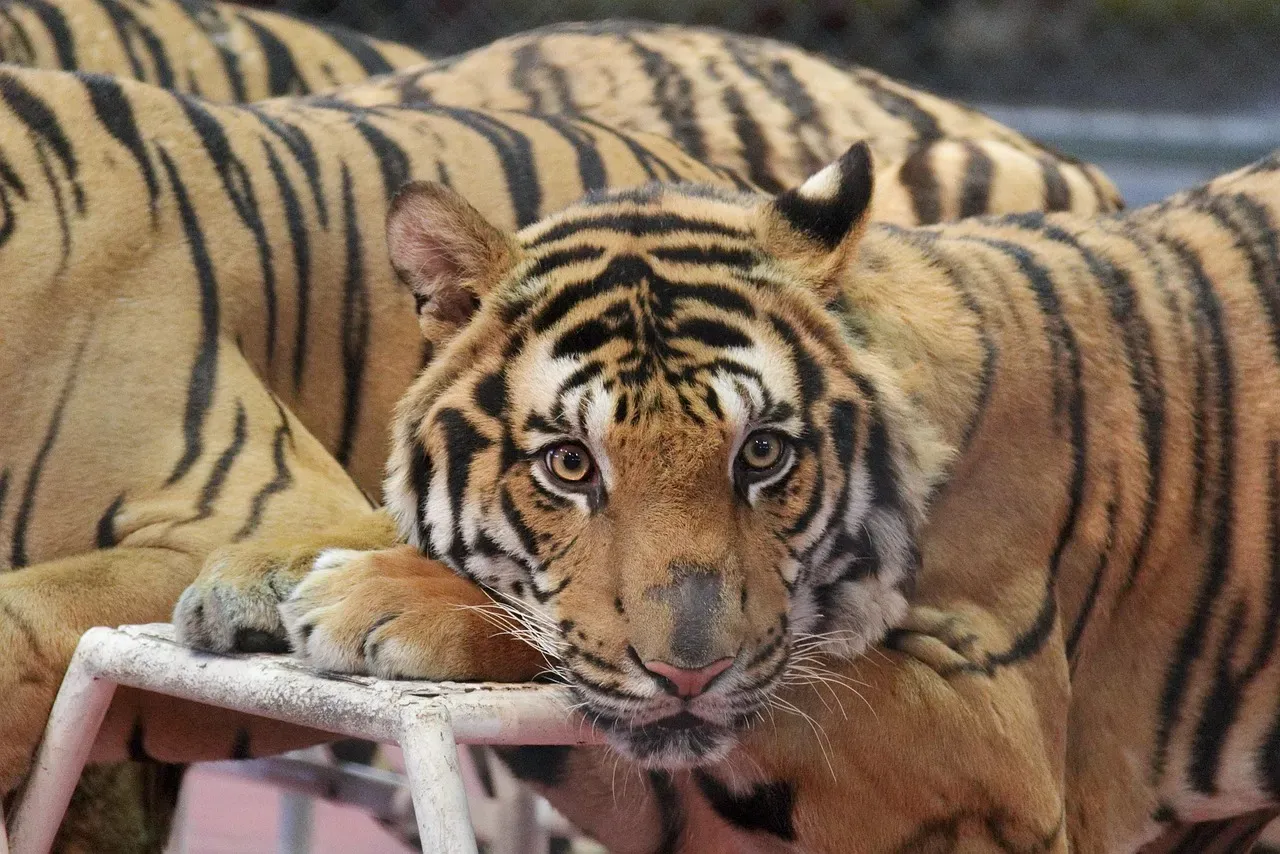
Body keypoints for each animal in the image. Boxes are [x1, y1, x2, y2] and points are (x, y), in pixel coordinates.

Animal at [176, 137, 1280, 854]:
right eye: (568, 464)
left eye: (763, 454)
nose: (688, 673)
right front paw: (256, 572)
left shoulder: (988, 726)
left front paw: (375, 597)